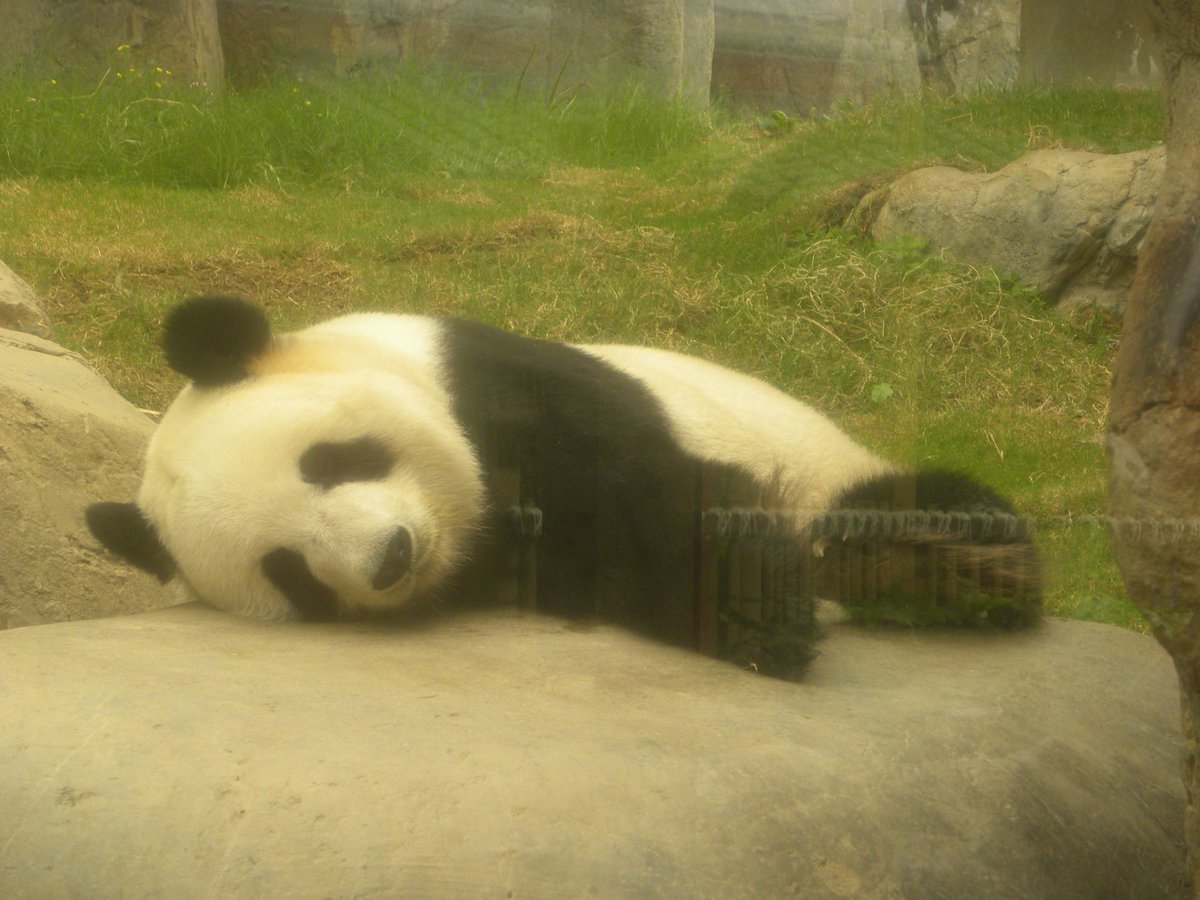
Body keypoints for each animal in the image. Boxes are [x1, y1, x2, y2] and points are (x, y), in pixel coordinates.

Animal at [88, 295, 1038, 671]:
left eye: (333, 461)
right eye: (288, 570)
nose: (391, 555)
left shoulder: (496, 384)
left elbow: (643, 488)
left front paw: (754, 607)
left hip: (821, 456)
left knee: (895, 508)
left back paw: (942, 564)